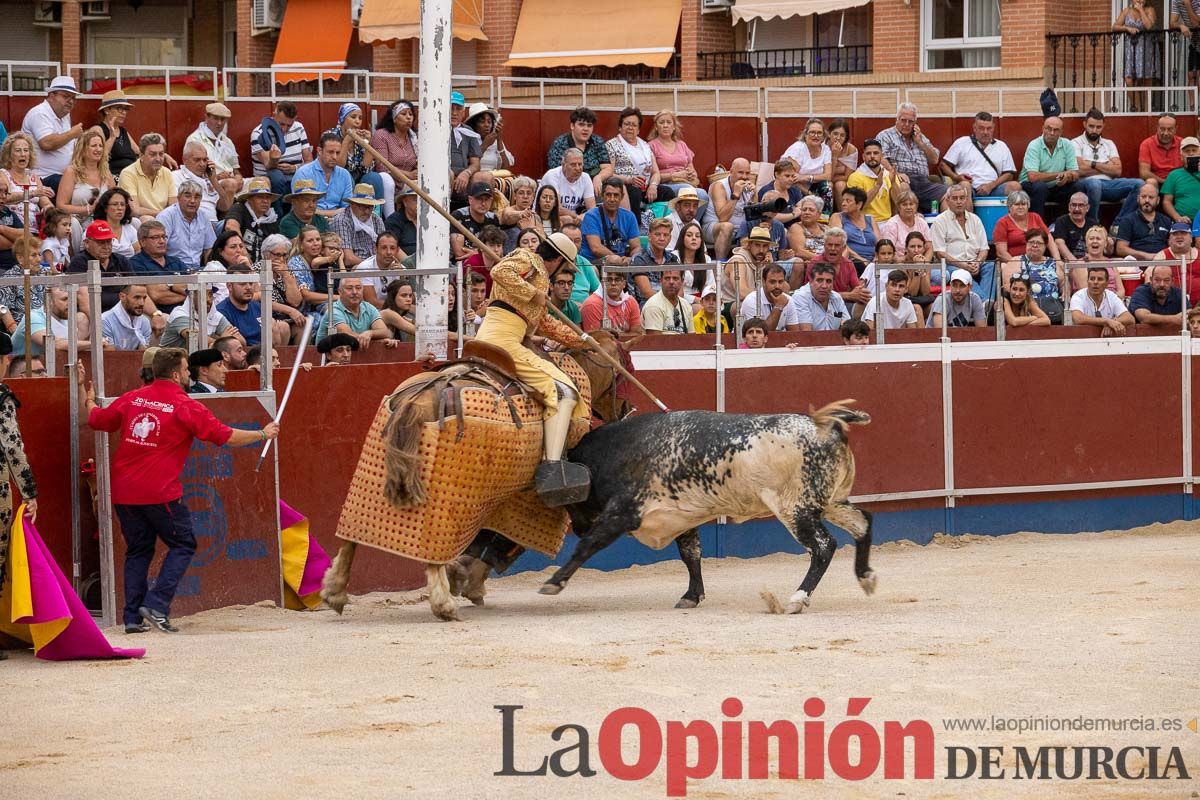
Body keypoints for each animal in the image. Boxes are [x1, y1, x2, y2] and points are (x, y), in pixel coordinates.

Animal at [540, 400, 878, 614]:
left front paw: (553, 583)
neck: (618, 451)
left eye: (572, 499)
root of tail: (827, 425)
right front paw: (691, 596)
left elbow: (589, 545)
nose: (577, 526)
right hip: (830, 502)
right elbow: (691, 554)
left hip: (795, 509)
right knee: (861, 522)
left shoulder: (623, 512)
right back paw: (865, 576)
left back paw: (797, 599)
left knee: (823, 546)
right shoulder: (679, 517)